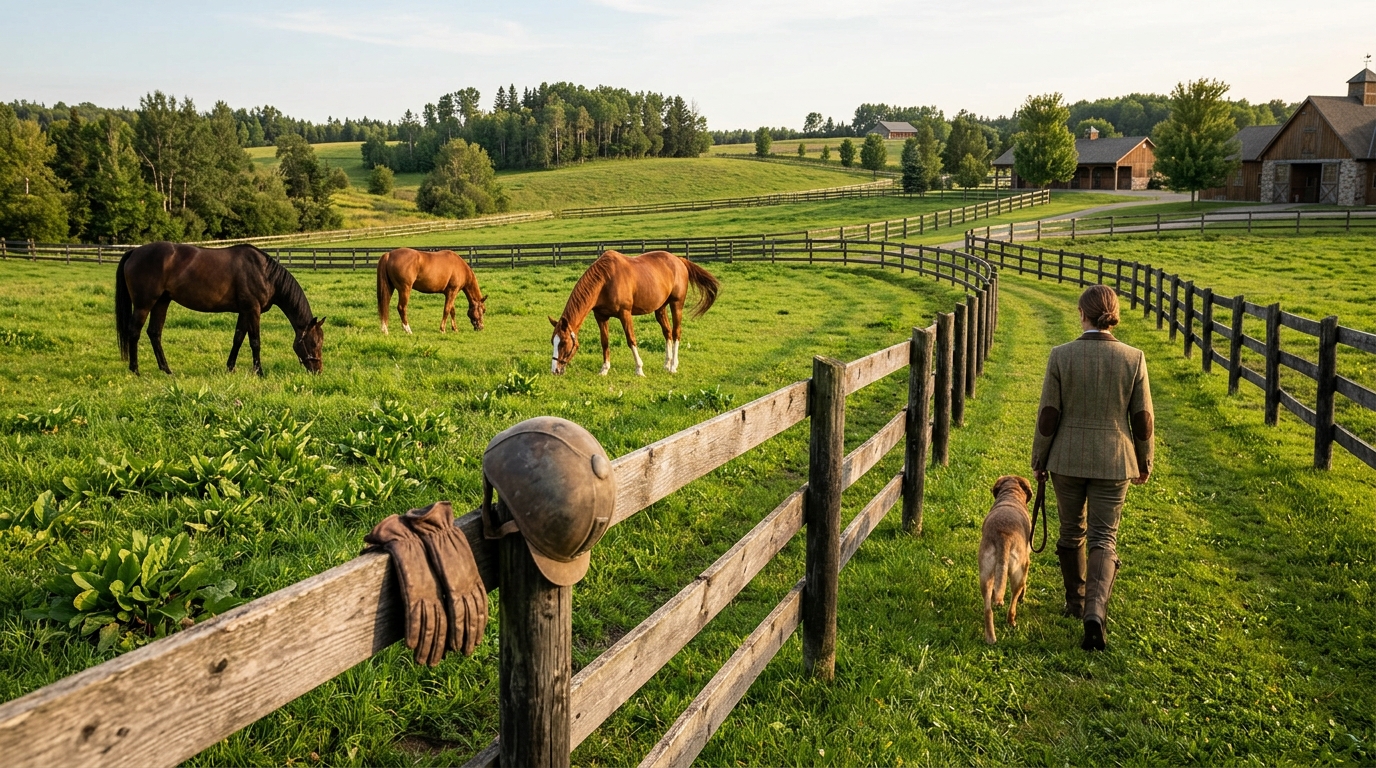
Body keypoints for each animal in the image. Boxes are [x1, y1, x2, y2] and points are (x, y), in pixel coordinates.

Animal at [115, 242, 325, 376]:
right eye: (314, 343)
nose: (318, 371)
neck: (264, 272)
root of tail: (134, 252)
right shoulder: (252, 310)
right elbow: (255, 342)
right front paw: (259, 372)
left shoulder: (244, 311)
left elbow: (238, 338)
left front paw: (230, 367)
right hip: (144, 304)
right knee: (134, 332)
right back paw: (135, 369)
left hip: (161, 302)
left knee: (154, 333)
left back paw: (166, 369)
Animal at [549, 250, 719, 376]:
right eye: (553, 342)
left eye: (564, 343)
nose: (555, 370)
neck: (605, 280)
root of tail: (679, 260)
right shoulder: (601, 316)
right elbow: (604, 342)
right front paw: (604, 369)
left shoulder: (625, 314)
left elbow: (631, 339)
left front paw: (639, 369)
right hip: (660, 308)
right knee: (668, 333)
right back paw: (667, 363)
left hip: (676, 304)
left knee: (676, 332)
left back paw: (673, 366)